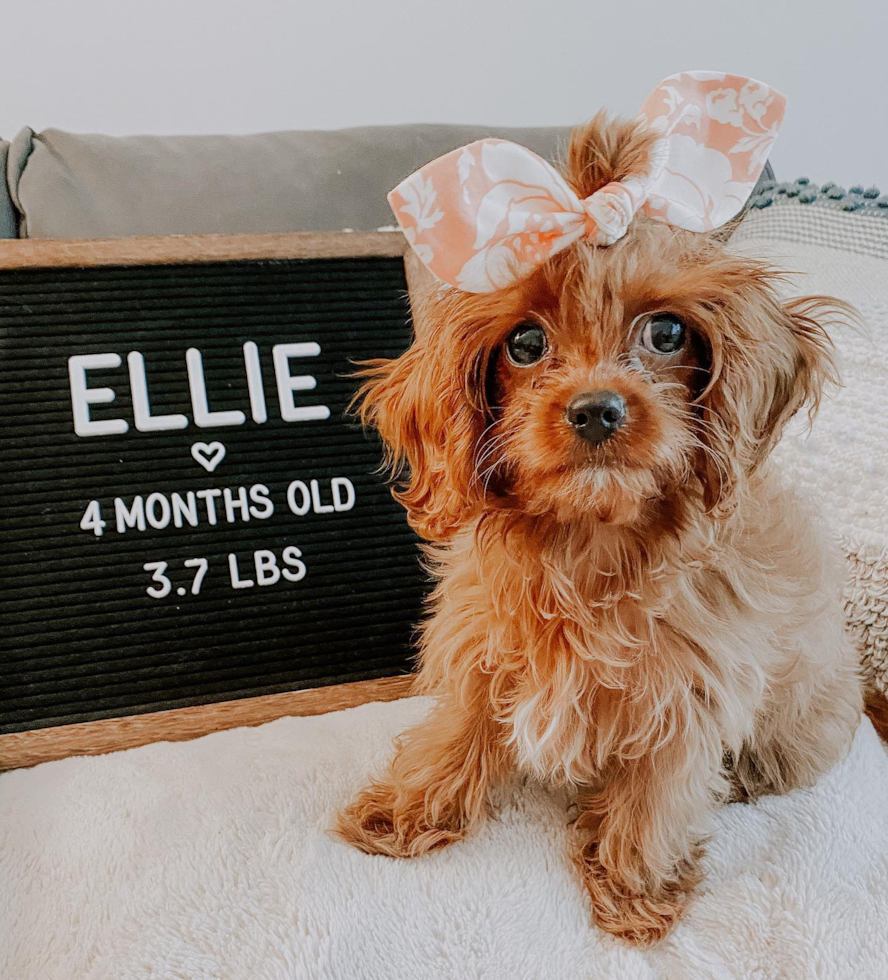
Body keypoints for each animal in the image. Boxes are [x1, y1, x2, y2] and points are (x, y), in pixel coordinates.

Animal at [332, 113, 860, 940]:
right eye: (525, 344)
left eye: (667, 334)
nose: (596, 410)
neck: (588, 538)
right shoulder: (484, 639)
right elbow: (462, 725)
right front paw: (409, 805)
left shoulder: (692, 688)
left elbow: (657, 792)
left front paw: (635, 884)